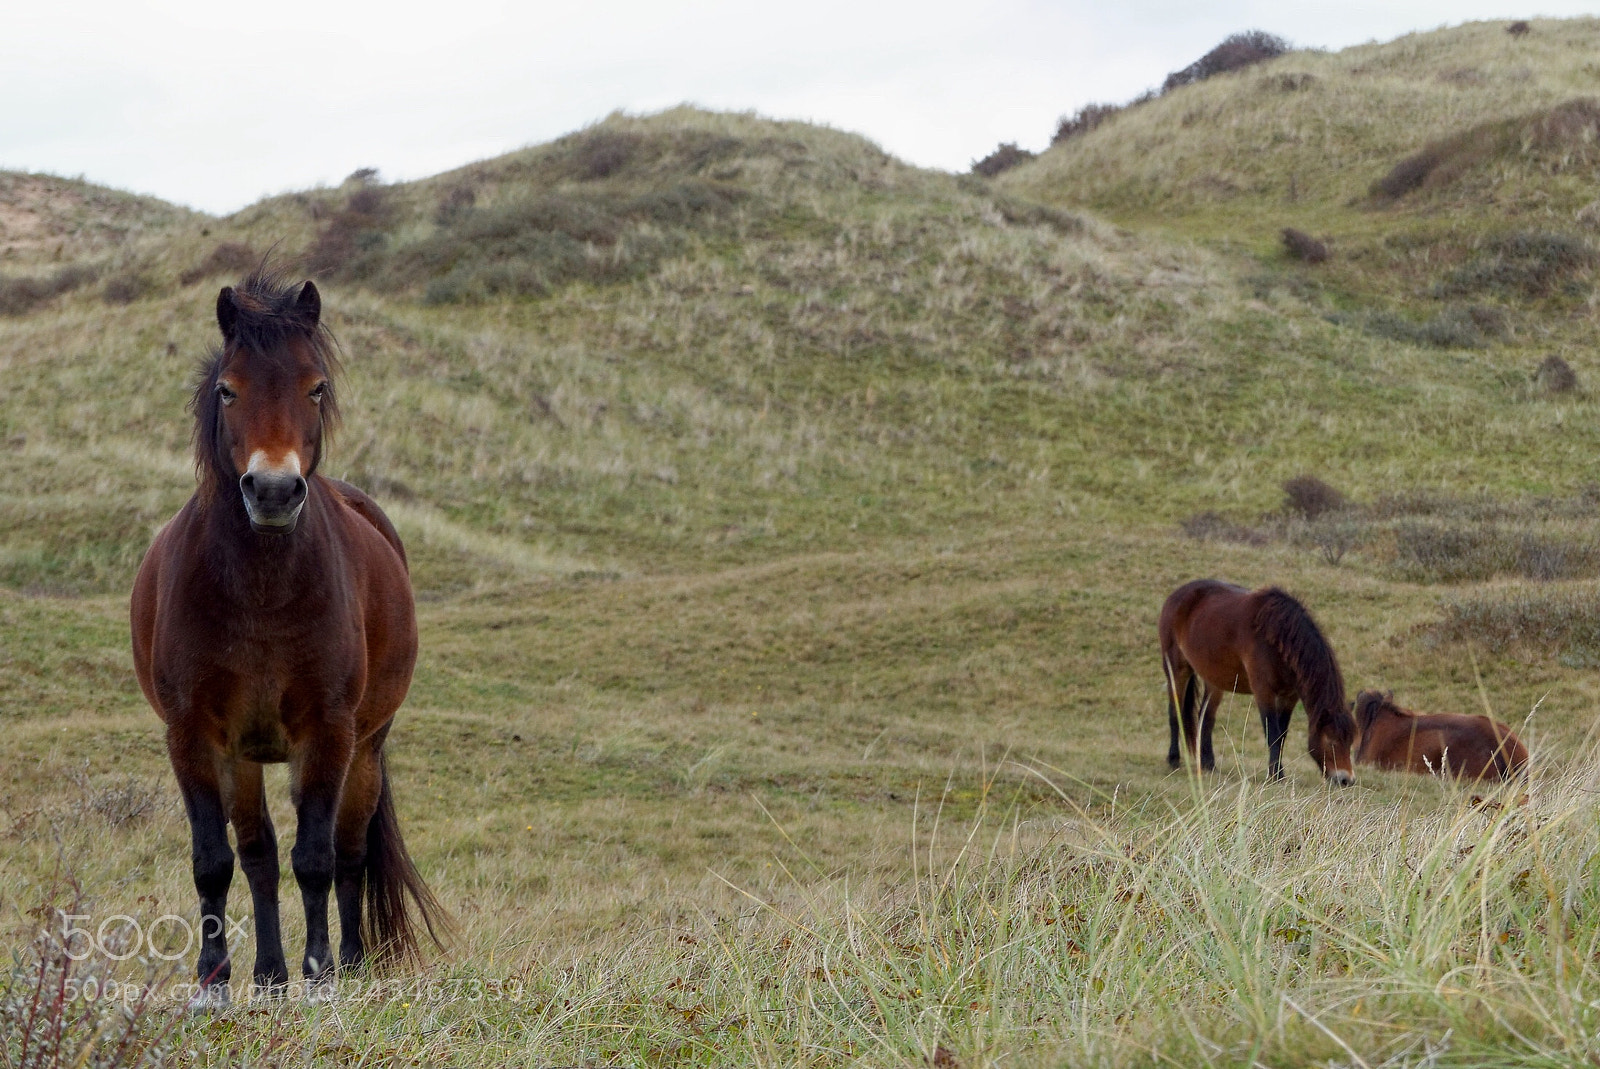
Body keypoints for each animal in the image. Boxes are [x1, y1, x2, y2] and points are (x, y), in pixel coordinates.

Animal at [130, 268, 448, 1004]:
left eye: (315, 386)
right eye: (228, 389)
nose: (273, 490)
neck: (261, 595)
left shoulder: (326, 732)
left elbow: (317, 858)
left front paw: (321, 976)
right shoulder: (194, 735)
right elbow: (218, 859)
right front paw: (214, 985)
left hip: (367, 747)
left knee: (351, 851)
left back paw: (350, 964)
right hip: (245, 756)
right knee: (257, 853)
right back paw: (269, 977)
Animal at [1157, 579, 1357, 784]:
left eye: (1351, 741)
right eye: (1331, 741)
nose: (1346, 780)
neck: (1278, 637)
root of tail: (1177, 595)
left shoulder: (1289, 697)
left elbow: (1282, 734)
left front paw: (1276, 771)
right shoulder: (1264, 692)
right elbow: (1272, 732)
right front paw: (1276, 775)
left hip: (1214, 680)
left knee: (1206, 717)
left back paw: (1208, 764)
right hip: (1176, 669)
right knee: (1174, 712)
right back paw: (1174, 759)